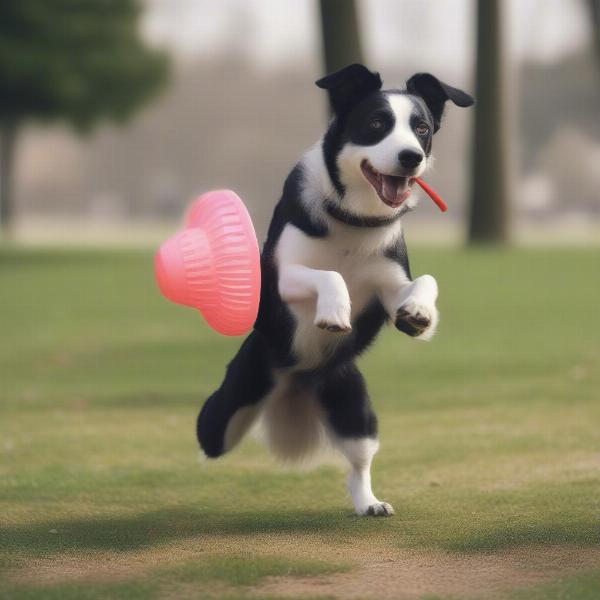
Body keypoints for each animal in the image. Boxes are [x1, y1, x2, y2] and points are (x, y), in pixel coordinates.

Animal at [198, 64, 474, 516]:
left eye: (421, 128)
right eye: (377, 123)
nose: (411, 157)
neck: (353, 217)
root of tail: (295, 380)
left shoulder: (388, 286)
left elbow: (423, 283)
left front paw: (418, 314)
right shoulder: (282, 275)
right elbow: (330, 274)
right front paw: (333, 313)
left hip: (355, 407)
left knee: (358, 465)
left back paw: (370, 503)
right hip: (227, 408)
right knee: (209, 436)